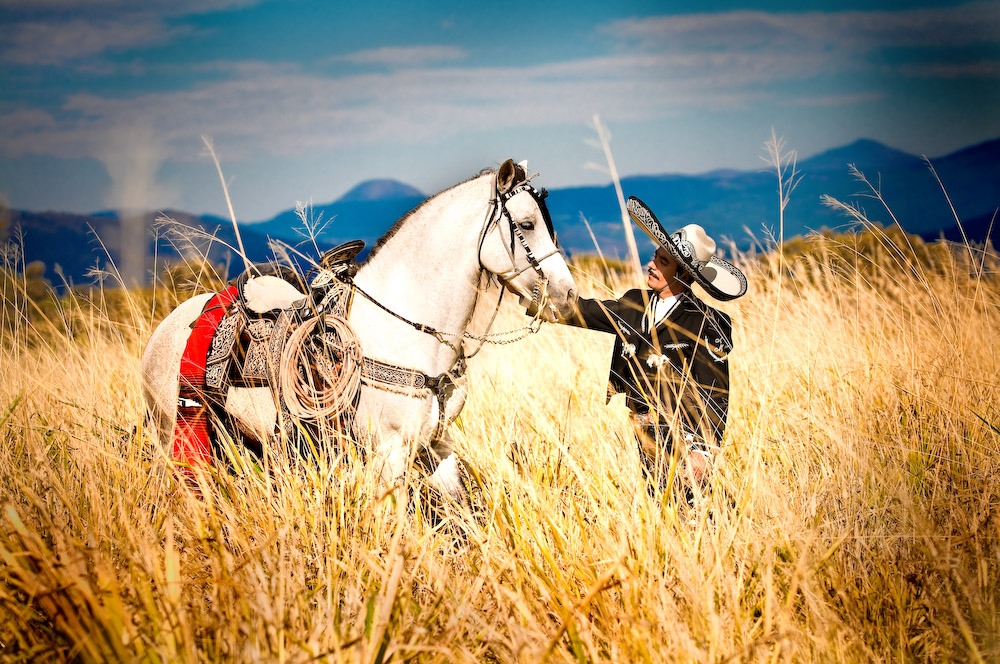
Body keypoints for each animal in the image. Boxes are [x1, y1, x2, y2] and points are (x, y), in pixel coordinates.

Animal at [141, 159, 578, 504]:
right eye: (526, 224)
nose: (567, 295)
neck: (406, 331)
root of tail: (167, 325)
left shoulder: (437, 446)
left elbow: (463, 513)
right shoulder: (389, 453)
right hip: (174, 434)